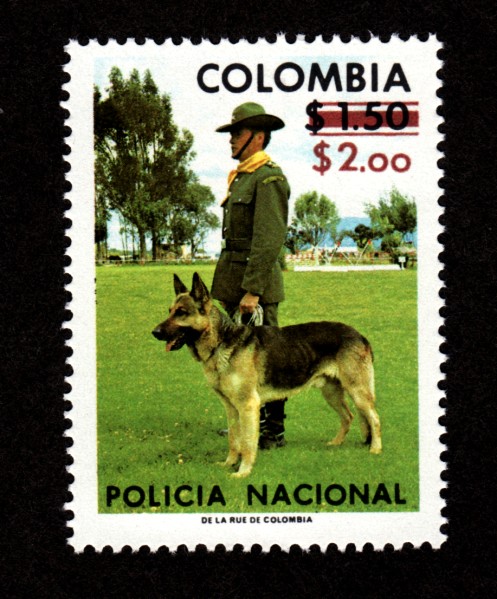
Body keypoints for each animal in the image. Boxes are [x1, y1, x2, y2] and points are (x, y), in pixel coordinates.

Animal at [152, 273, 381, 478]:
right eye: (170, 311)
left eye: (181, 312)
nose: (154, 332)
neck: (221, 342)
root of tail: (360, 335)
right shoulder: (231, 408)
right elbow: (234, 440)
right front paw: (229, 464)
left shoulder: (248, 406)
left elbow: (247, 443)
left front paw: (243, 471)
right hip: (332, 393)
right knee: (348, 416)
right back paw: (336, 443)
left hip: (358, 393)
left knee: (374, 418)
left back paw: (375, 449)